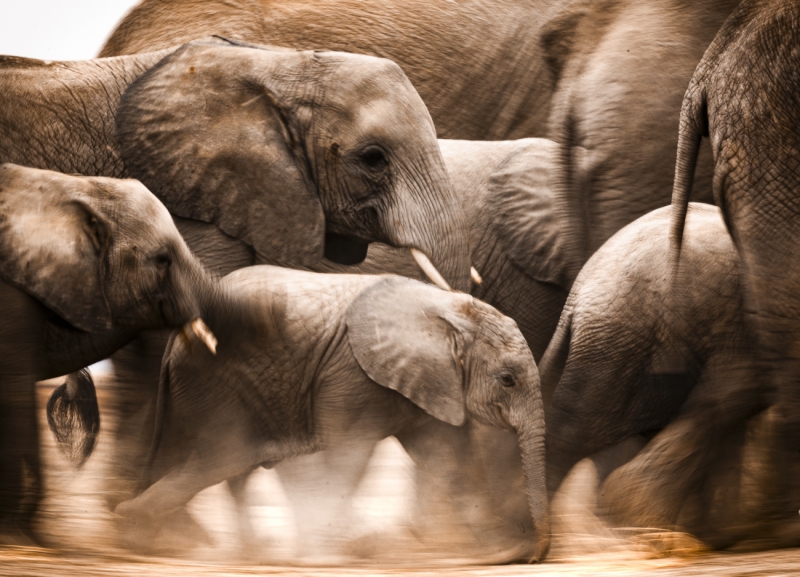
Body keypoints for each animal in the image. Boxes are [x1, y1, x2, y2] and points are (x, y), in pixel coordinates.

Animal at [113, 268, 550, 563]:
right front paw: (330, 554)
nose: (535, 556)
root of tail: (174, 341)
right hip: (215, 382)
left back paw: (249, 551)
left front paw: (501, 552)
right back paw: (135, 531)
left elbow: (451, 461)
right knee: (224, 458)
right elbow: (349, 458)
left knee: (232, 466)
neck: (449, 308)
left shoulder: (431, 384)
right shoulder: (352, 377)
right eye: (508, 380)